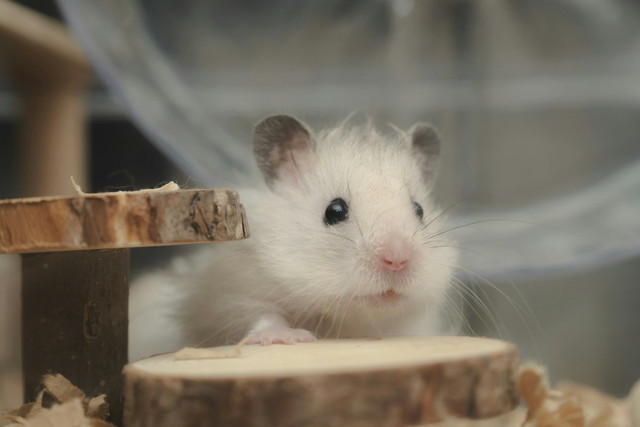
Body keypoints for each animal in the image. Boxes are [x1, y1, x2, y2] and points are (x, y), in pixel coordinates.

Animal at [175, 115, 458, 346]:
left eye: (419, 210)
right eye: (334, 211)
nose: (397, 259)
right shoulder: (222, 298)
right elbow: (259, 314)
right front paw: (289, 338)